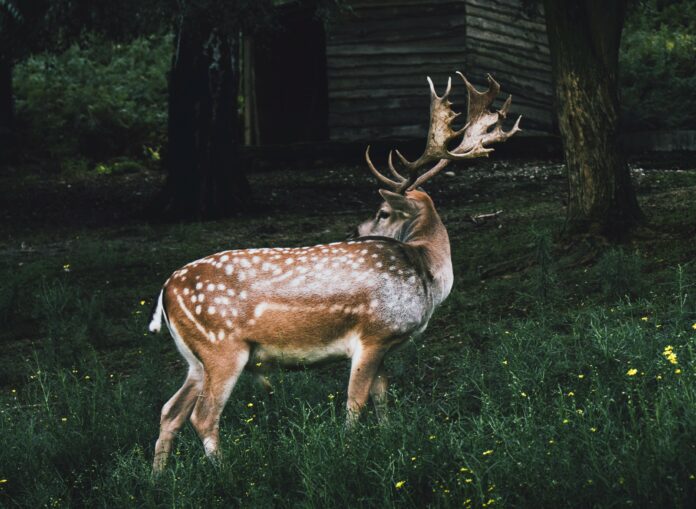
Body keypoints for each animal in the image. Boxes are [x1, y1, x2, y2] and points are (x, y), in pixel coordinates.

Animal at [148, 72, 521, 473]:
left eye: (383, 213)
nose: (356, 232)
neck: (426, 277)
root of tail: (166, 291)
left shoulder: (384, 345)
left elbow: (381, 397)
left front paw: (388, 441)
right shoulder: (373, 333)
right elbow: (355, 402)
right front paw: (348, 452)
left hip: (195, 358)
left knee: (170, 411)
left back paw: (159, 478)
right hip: (221, 347)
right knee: (203, 415)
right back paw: (224, 473)